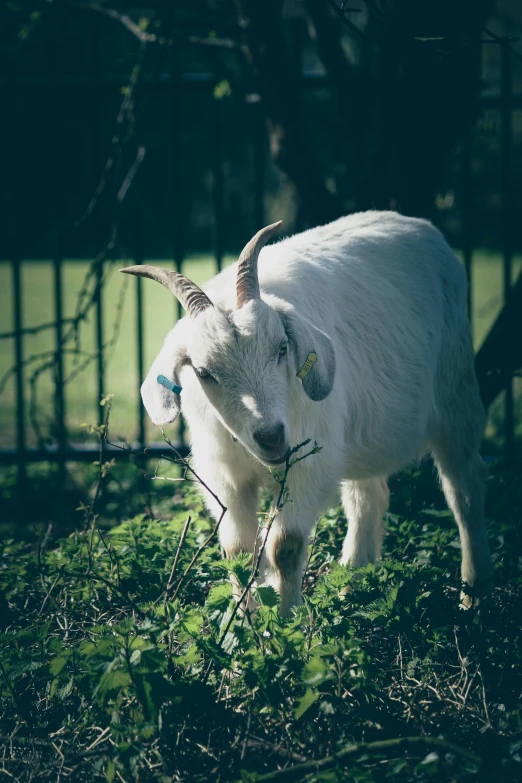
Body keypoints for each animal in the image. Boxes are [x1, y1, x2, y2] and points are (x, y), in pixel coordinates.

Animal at [120, 211, 490, 616]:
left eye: (282, 348)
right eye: (203, 373)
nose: (271, 436)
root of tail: (420, 227)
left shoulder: (311, 463)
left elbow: (286, 545)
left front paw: (286, 619)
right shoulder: (224, 474)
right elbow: (237, 549)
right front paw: (244, 622)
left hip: (456, 392)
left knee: (465, 491)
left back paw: (473, 596)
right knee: (367, 497)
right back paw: (351, 592)